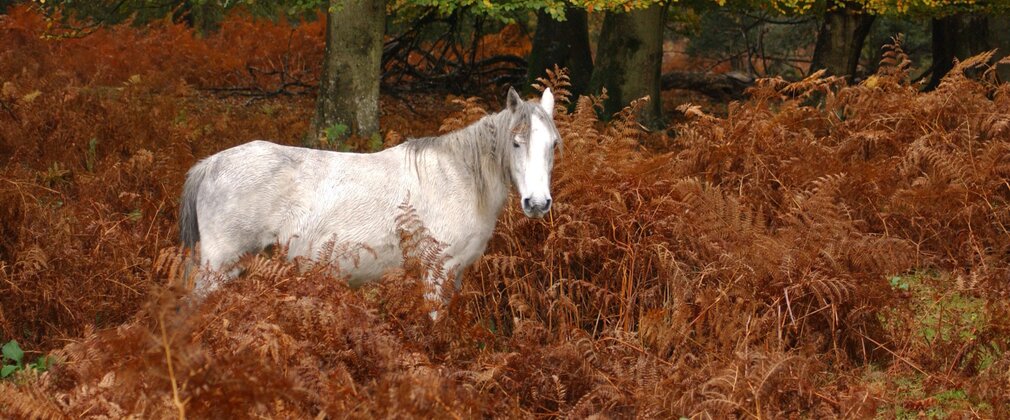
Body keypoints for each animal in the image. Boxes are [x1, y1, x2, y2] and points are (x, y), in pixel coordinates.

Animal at [178, 88, 560, 313]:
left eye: (553, 144)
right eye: (516, 142)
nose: (537, 203)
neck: (459, 177)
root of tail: (210, 164)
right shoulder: (437, 271)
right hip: (218, 266)